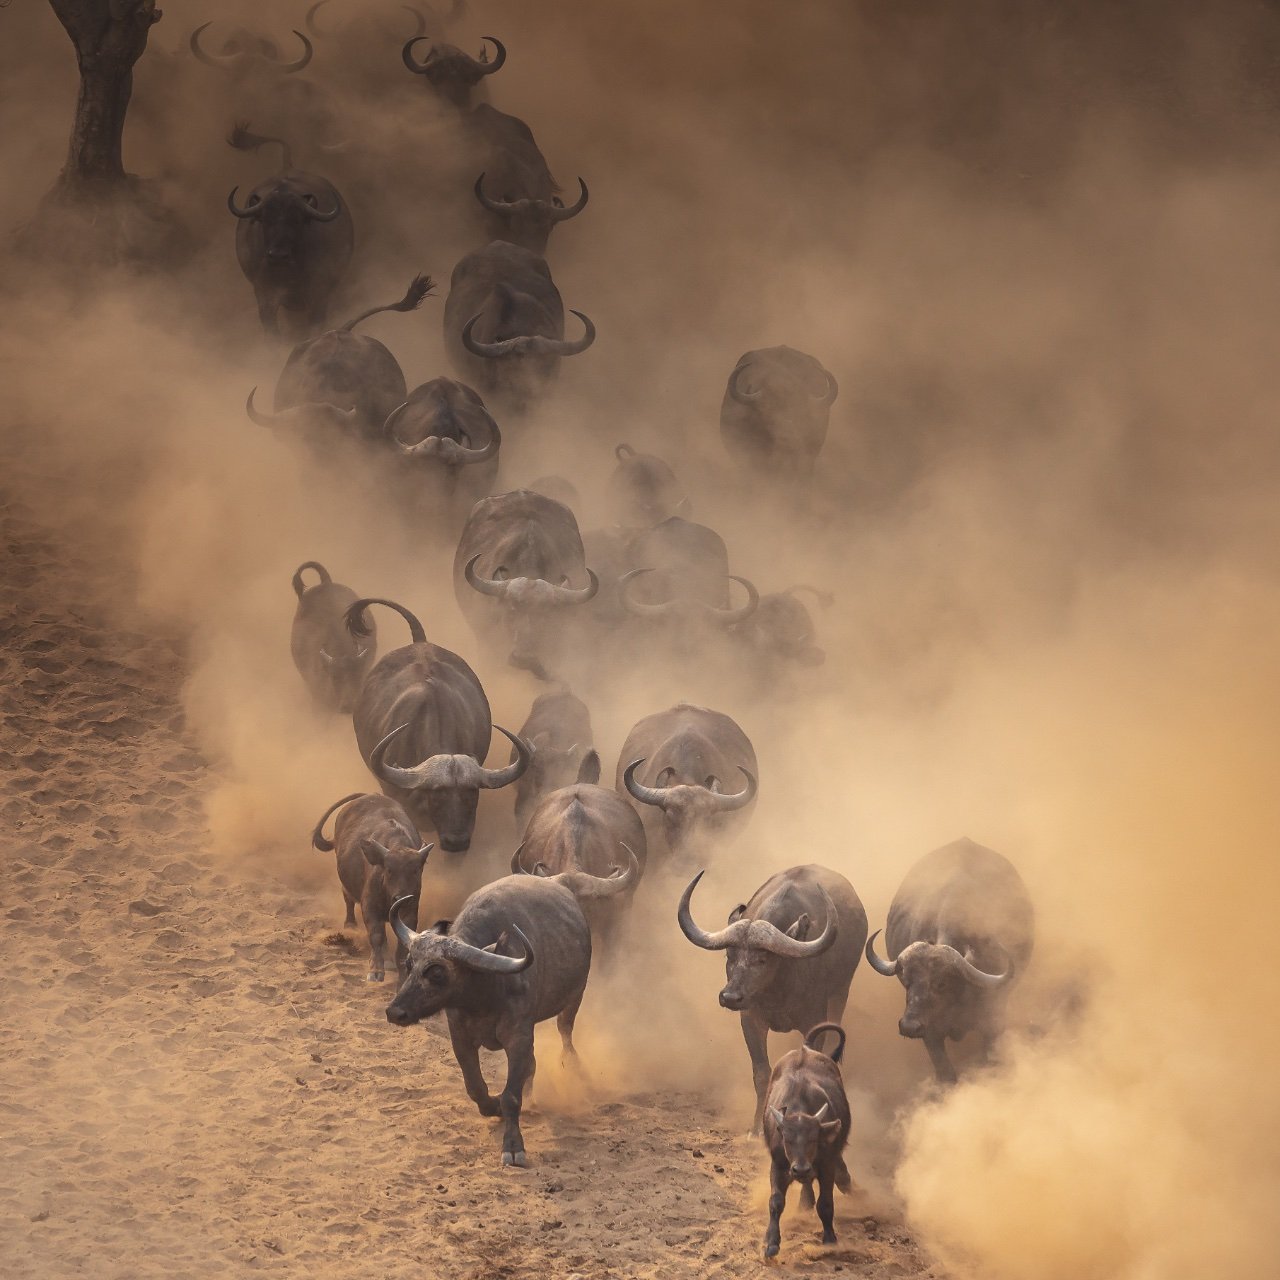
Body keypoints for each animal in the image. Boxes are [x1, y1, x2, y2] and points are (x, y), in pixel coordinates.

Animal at [311, 792, 432, 981]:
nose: (401, 898)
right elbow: (376, 935)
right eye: (389, 870)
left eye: (416, 870)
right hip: (346, 886)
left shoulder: (411, 910)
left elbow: (402, 940)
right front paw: (375, 970)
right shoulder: (369, 906)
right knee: (348, 900)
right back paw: (350, 925)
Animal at [386, 874, 592, 1167]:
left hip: (575, 996)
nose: (395, 1012)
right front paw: (493, 1106)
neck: (484, 993)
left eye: (436, 972)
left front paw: (513, 1146)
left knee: (565, 1031)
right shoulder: (460, 1037)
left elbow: (512, 1096)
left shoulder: (518, 1037)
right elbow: (475, 1087)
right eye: (409, 964)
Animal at [678, 865, 865, 1131]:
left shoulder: (814, 1021)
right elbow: (761, 1074)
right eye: (729, 955)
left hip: (841, 991)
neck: (779, 989)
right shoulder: (750, 1020)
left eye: (762, 959)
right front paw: (757, 1127)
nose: (730, 997)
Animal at [761, 1022, 853, 1259]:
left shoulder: (826, 1164)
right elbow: (775, 1201)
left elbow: (826, 1204)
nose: (800, 1169)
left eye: (813, 1139)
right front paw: (771, 1243)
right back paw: (805, 1202)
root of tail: (806, 1048)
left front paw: (829, 1239)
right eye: (786, 1139)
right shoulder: (779, 1164)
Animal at [865, 837, 1034, 1083]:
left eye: (941, 983)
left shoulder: (992, 1022)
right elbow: (946, 1073)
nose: (908, 1026)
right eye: (906, 981)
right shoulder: (930, 1032)